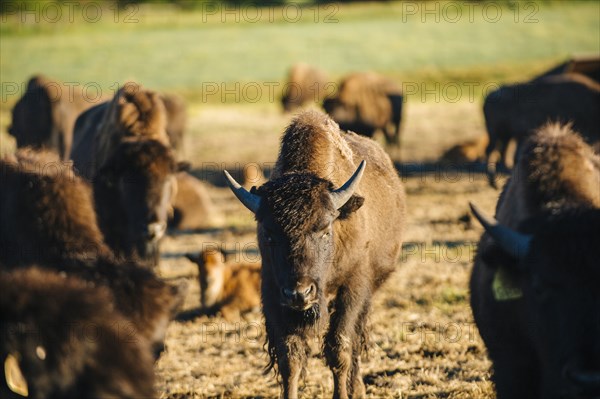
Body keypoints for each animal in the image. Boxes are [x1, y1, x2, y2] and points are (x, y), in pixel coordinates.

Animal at [223, 110, 406, 399]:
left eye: (324, 229)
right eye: (269, 234)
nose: (300, 293)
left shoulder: (354, 287)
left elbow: (340, 347)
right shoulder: (273, 292)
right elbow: (290, 358)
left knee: (355, 341)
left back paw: (358, 389)